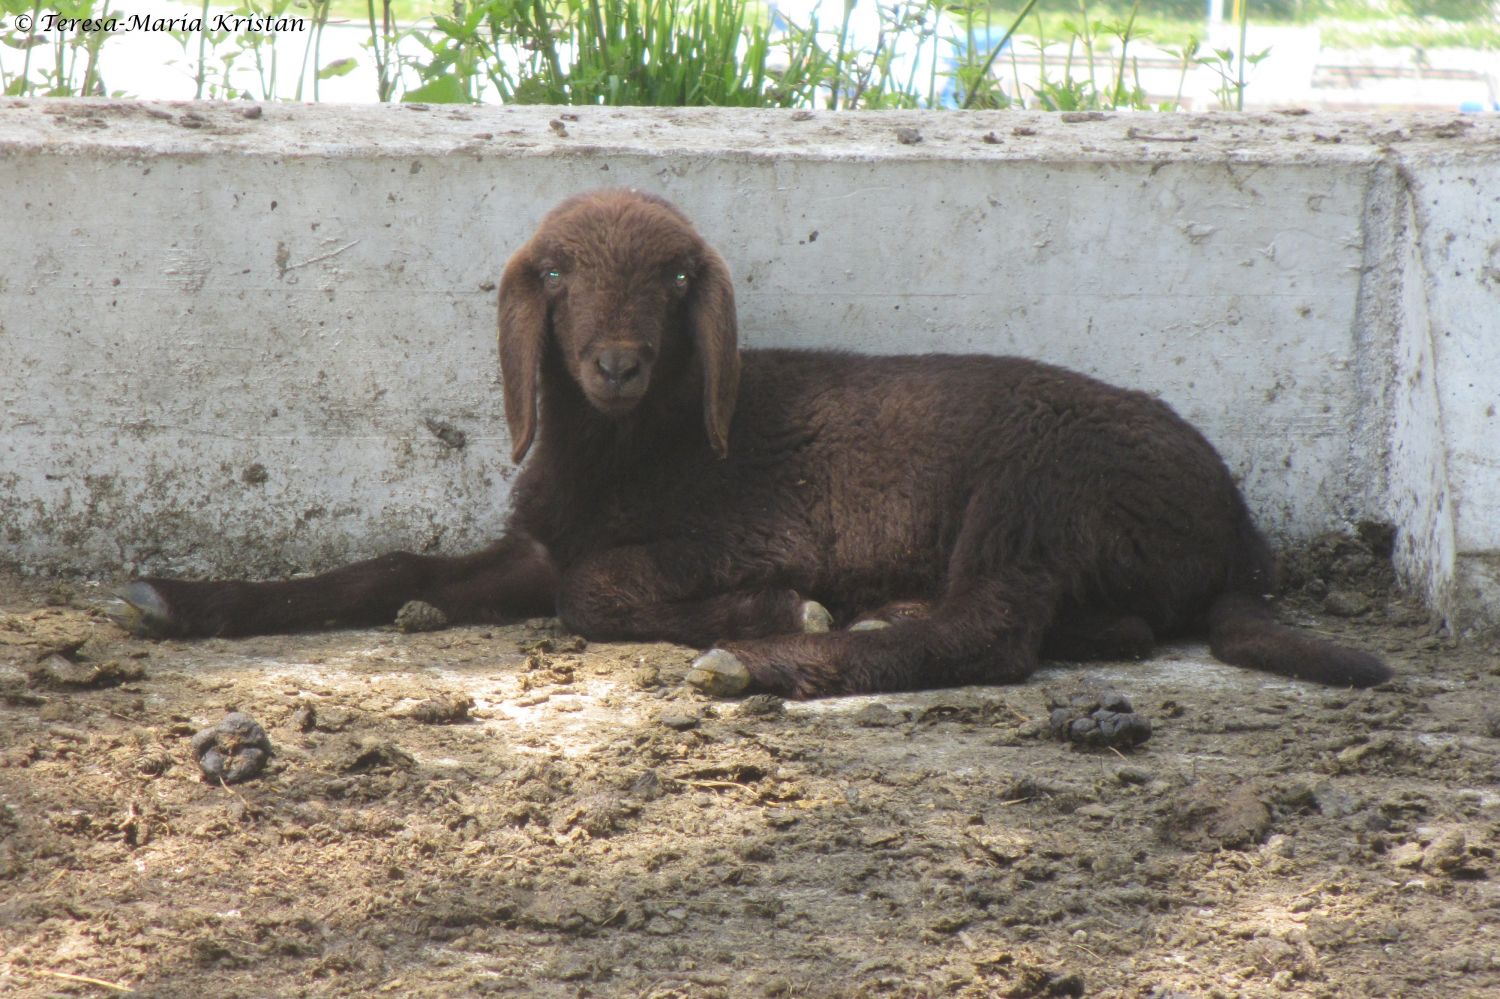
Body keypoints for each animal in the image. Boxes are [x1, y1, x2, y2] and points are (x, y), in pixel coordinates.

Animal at [117, 190, 1392, 696]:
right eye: (559, 276)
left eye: (679, 280)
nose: (615, 365)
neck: (638, 448)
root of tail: (1238, 534)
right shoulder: (538, 537)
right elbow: (396, 567)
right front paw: (179, 601)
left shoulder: (736, 533)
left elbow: (595, 595)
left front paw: (773, 614)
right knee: (1080, 628)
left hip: (1038, 487)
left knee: (991, 632)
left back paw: (763, 662)